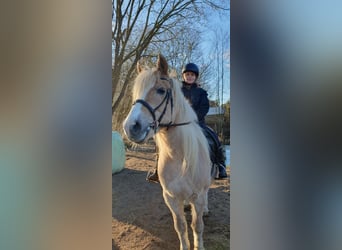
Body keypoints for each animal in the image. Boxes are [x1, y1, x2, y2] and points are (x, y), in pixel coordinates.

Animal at [123, 54, 212, 250]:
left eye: (161, 91)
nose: (130, 127)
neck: (179, 157)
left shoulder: (198, 197)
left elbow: (197, 225)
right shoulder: (170, 197)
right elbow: (180, 226)